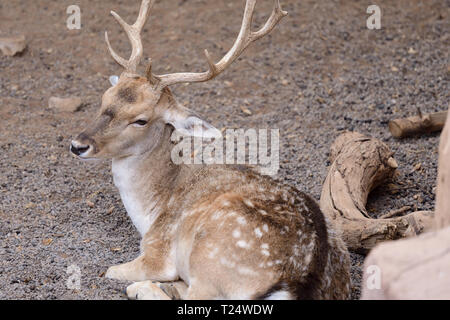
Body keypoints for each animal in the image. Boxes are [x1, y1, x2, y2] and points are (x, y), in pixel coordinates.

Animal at [70, 0, 352, 300]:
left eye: (141, 120)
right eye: (104, 98)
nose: (78, 145)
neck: (150, 208)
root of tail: (299, 282)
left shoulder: (158, 249)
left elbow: (111, 270)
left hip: (211, 259)